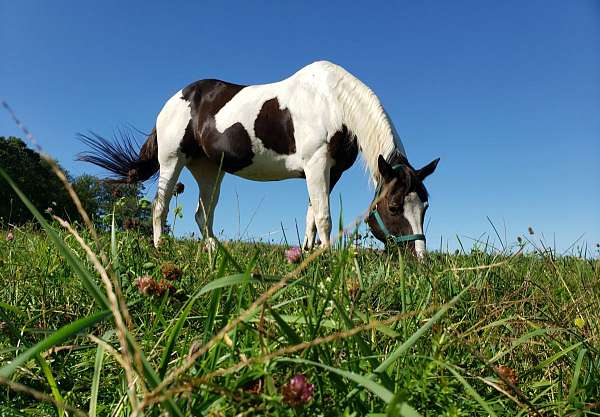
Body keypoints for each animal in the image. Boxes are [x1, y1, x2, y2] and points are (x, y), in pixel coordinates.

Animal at [77, 61, 438, 256]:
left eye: (424, 205)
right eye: (394, 207)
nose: (419, 259)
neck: (333, 102)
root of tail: (178, 98)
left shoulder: (329, 171)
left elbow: (311, 214)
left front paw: (310, 255)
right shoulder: (316, 163)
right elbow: (323, 216)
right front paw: (326, 257)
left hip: (209, 170)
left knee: (202, 213)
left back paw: (212, 250)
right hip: (171, 161)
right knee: (160, 205)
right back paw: (159, 246)